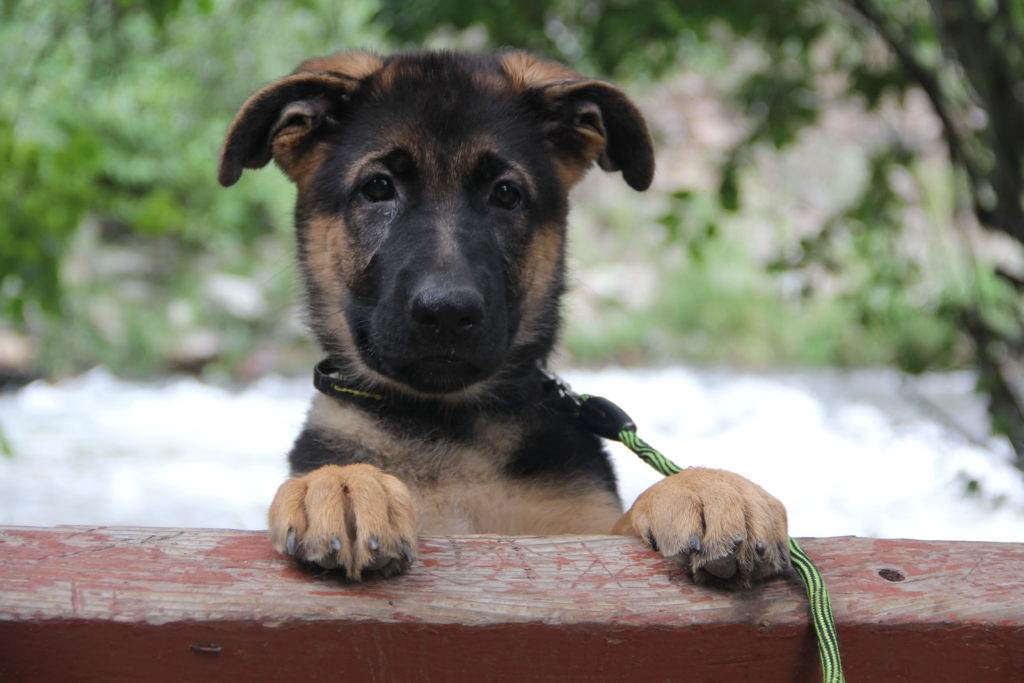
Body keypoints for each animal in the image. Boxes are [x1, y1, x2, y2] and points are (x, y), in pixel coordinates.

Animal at [218, 52, 790, 589]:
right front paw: (343, 484)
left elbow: (624, 522)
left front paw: (705, 488)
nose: (447, 312)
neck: (447, 426)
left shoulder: (578, 535)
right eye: (378, 188)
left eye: (506, 193)